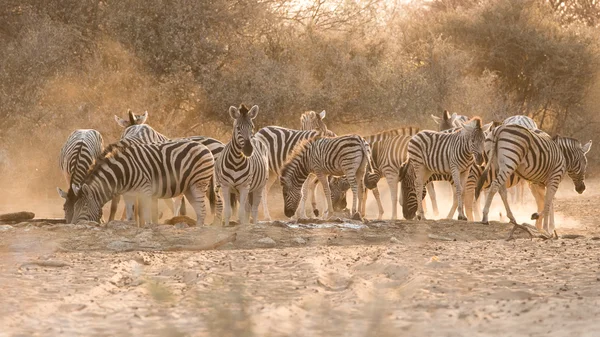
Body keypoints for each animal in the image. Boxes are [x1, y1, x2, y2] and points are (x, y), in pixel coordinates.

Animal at [69, 138, 220, 227]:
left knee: (203, 209)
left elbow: (145, 214)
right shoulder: (128, 194)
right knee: (199, 210)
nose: (74, 225)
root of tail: (204, 147)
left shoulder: (145, 190)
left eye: (84, 207)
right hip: (189, 188)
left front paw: (147, 228)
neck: (122, 173)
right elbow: (131, 216)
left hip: (199, 183)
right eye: (75, 207)